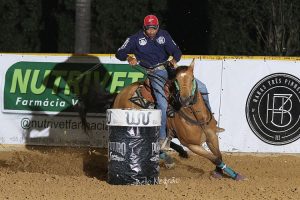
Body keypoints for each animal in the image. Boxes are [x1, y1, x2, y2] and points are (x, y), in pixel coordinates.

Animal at [112, 59, 246, 181]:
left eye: (192, 79)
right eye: (177, 81)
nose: (185, 100)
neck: (197, 118)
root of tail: (122, 93)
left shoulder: (212, 136)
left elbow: (219, 155)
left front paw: (224, 173)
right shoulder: (192, 145)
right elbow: (215, 158)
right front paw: (230, 174)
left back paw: (176, 154)